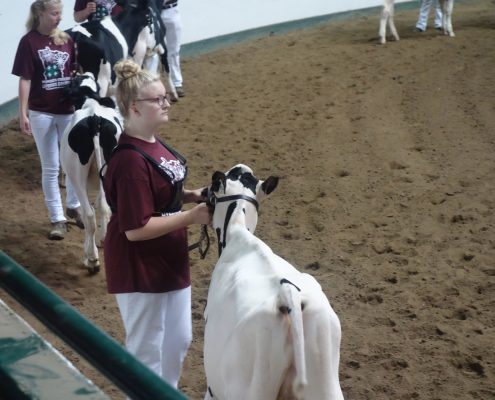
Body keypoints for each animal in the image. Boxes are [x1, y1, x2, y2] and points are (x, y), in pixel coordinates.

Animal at [60, 72, 122, 274]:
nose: (83, 73)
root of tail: (95, 119)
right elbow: (101, 204)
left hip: (76, 175)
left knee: (88, 214)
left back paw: (92, 259)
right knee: (105, 206)